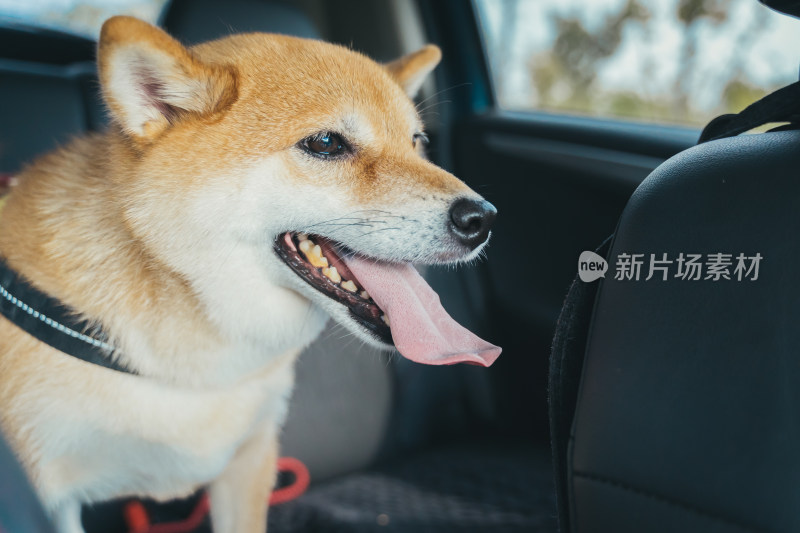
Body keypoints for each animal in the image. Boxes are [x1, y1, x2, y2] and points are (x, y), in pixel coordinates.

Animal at [0, 16, 500, 532]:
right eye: (326, 143)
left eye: (418, 142)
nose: (482, 218)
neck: (200, 369)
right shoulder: (47, 497)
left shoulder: (251, 459)